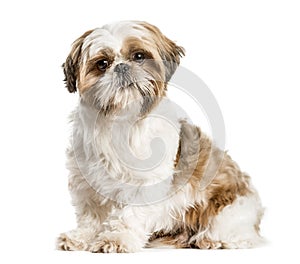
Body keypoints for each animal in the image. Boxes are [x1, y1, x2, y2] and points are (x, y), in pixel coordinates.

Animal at [56, 20, 262, 252]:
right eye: (102, 63)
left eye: (138, 56)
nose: (122, 67)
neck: (121, 122)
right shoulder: (86, 182)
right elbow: (91, 215)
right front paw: (81, 237)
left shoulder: (146, 185)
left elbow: (129, 216)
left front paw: (116, 239)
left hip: (229, 208)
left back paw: (212, 239)